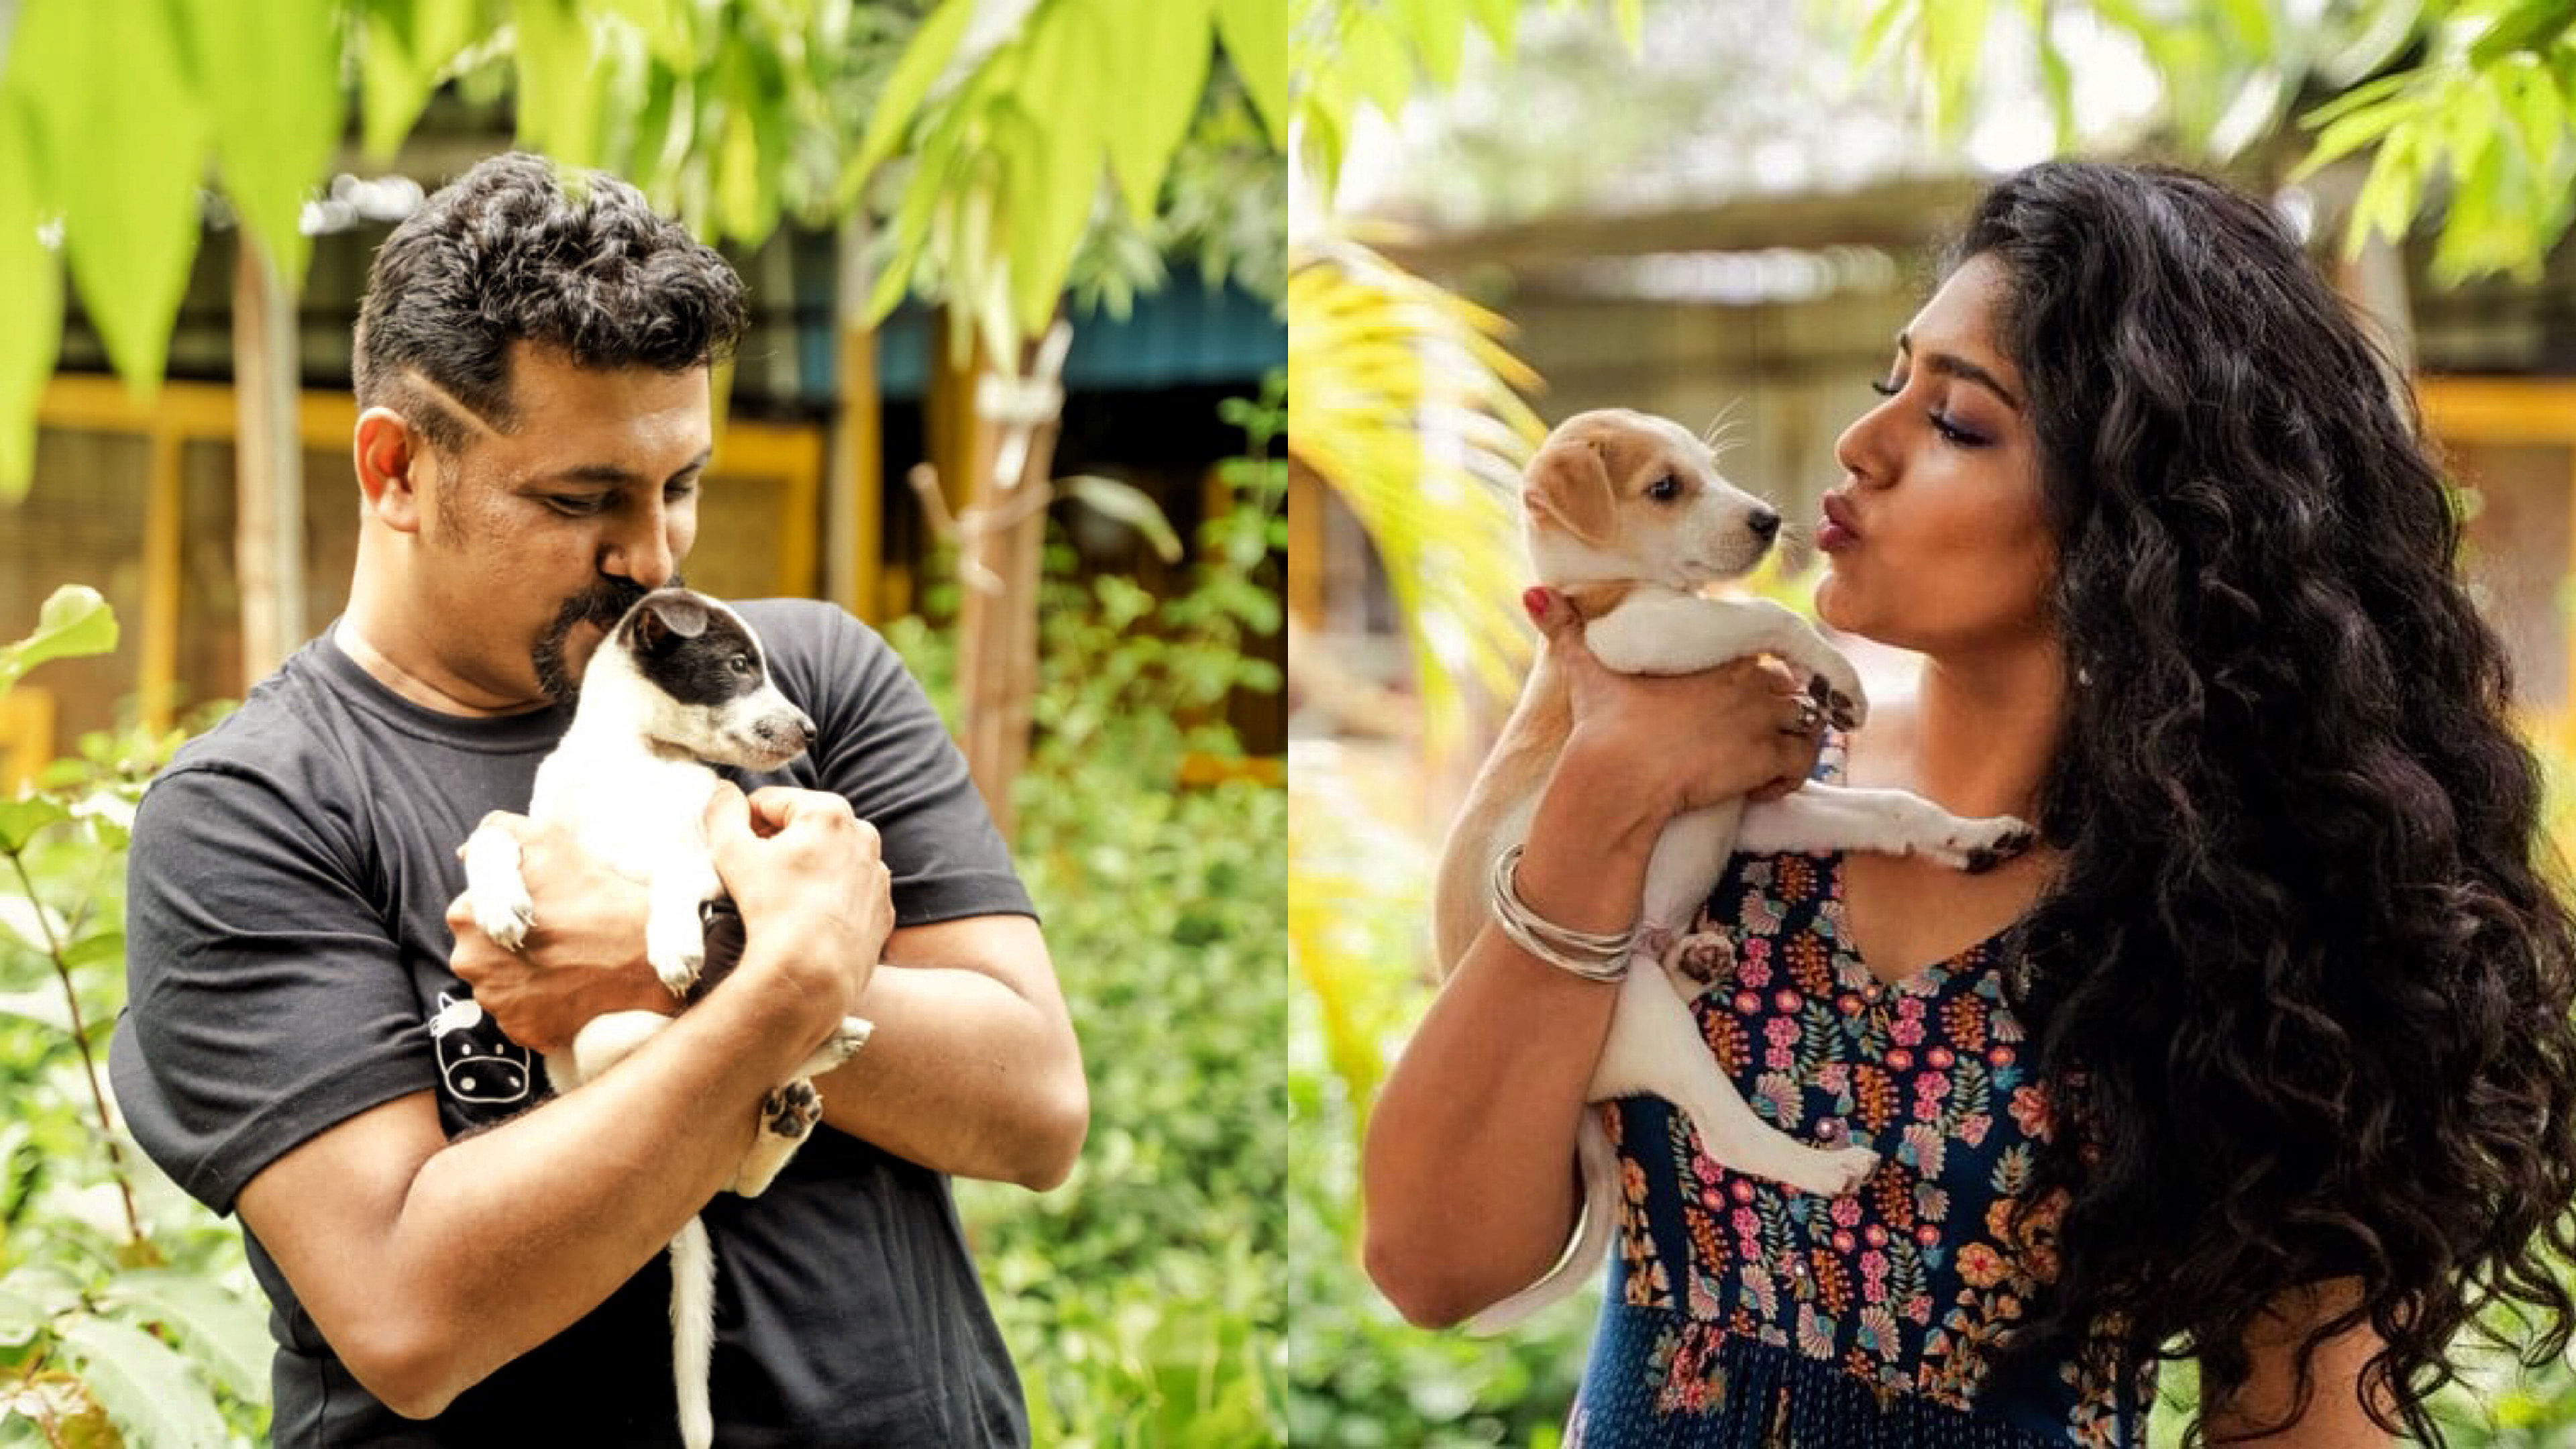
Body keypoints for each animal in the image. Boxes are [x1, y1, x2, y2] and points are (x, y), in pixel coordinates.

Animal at [461, 582, 865, 1444]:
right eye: (739, 664)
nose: (808, 729)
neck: (637, 762)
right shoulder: (544, 830)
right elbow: (491, 835)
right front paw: (499, 900)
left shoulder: (711, 841)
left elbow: (681, 867)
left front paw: (675, 938)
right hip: (606, 1049)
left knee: (741, 1143)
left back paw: (806, 1077)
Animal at [1432, 407, 2029, 1330]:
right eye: (1665, 488)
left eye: (1711, 470)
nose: (1768, 520)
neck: (1617, 588)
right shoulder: (1633, 636)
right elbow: (1761, 614)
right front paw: (1838, 669)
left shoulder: (1755, 810)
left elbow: (1893, 809)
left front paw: (1964, 836)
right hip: (1637, 1011)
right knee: (1726, 1130)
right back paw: (1822, 1166)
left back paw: (1703, 954)